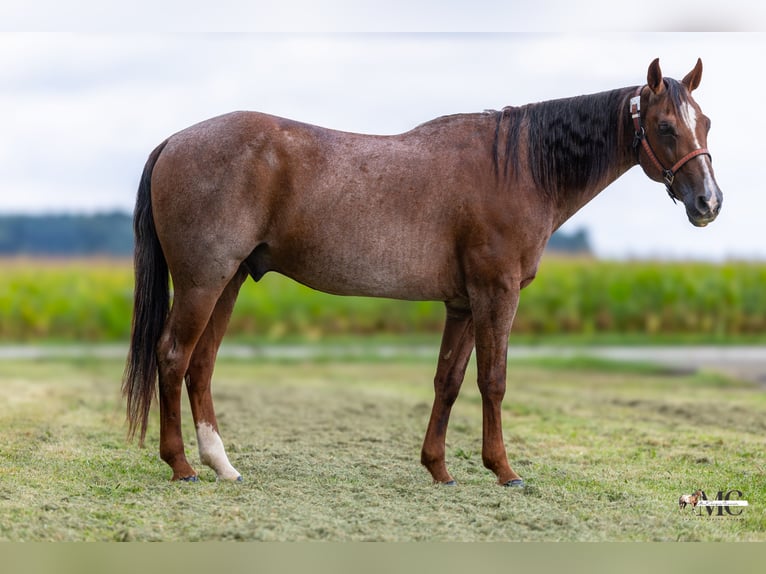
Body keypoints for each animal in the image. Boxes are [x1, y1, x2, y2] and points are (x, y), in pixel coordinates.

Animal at [123, 58, 722, 486]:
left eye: (707, 123)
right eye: (666, 126)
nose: (709, 202)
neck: (518, 168)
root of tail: (175, 139)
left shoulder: (463, 303)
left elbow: (448, 381)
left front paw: (438, 467)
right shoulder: (496, 294)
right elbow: (493, 380)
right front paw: (504, 471)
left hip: (226, 283)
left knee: (200, 366)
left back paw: (221, 464)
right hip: (203, 282)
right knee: (173, 356)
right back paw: (181, 465)